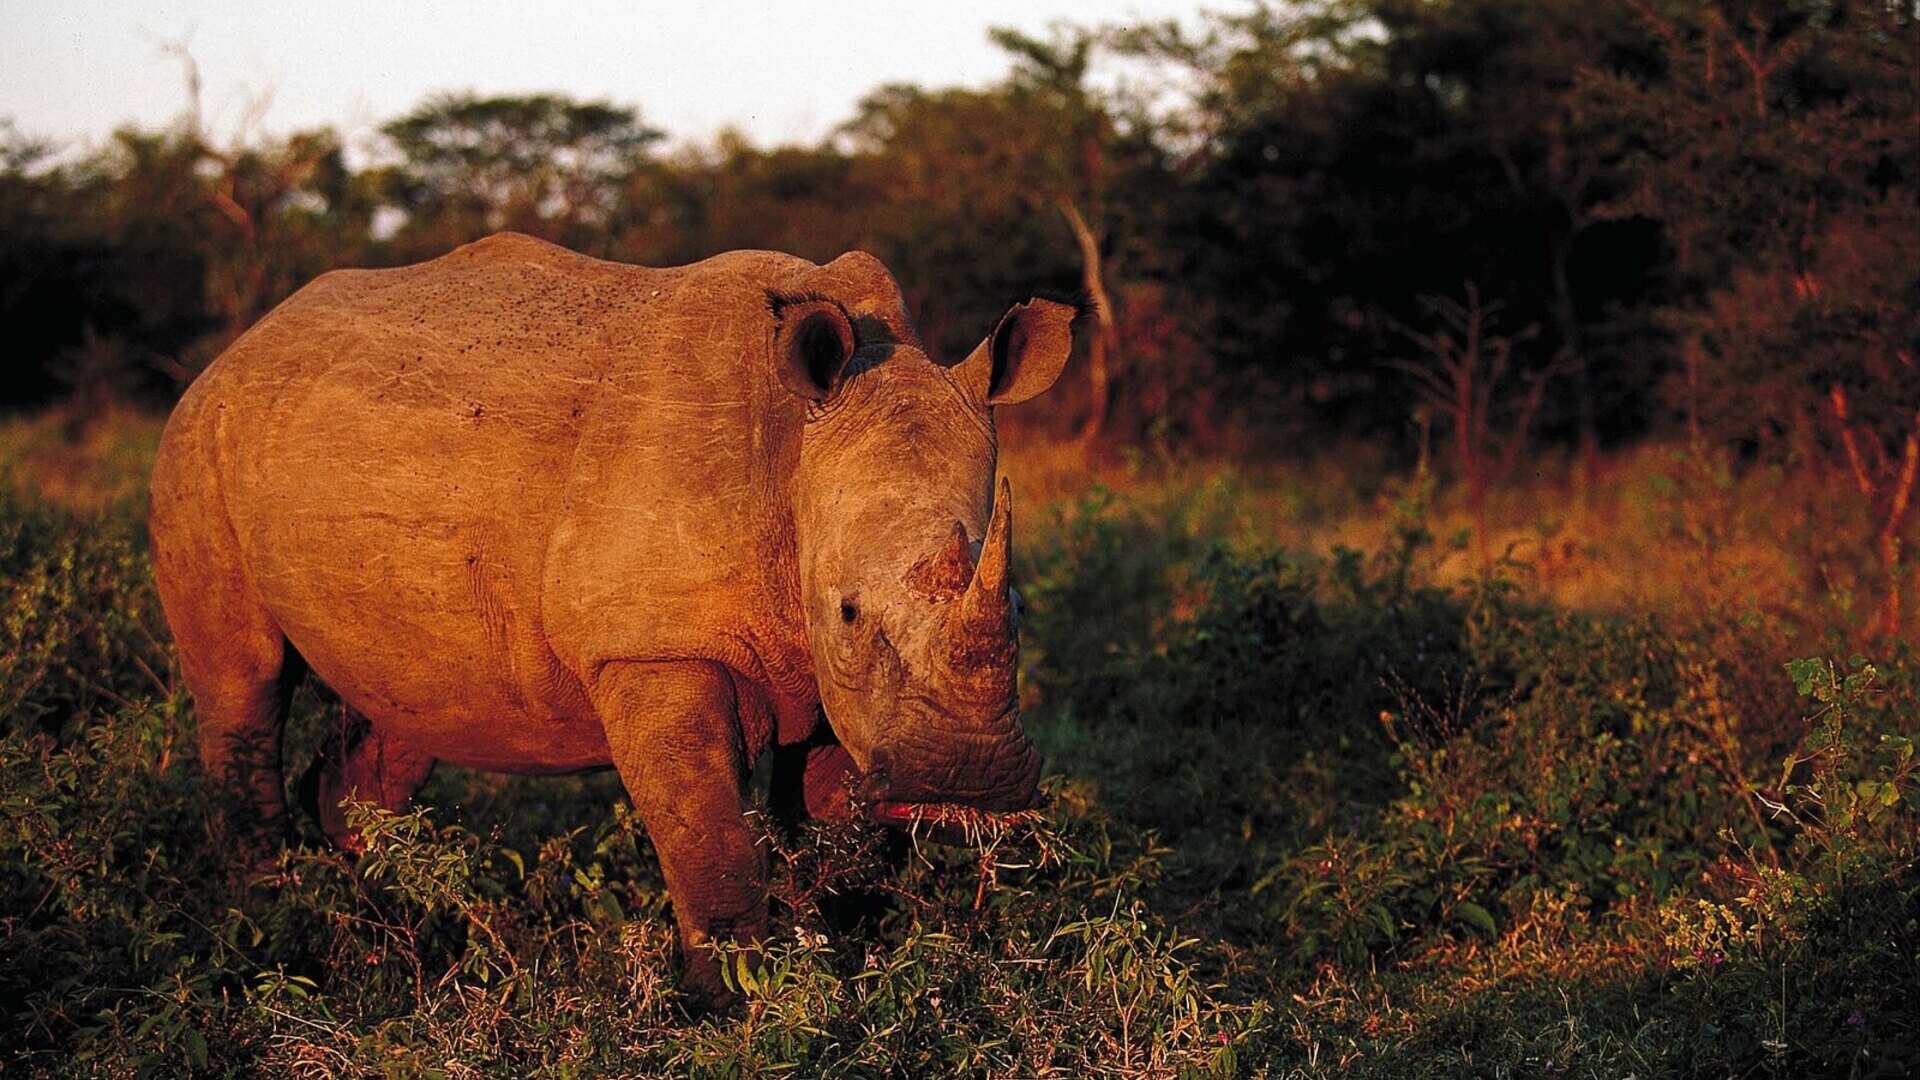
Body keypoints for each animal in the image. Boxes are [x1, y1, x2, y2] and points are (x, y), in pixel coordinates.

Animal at [147, 232, 1076, 999]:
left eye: (1020, 605)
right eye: (847, 611)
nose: (963, 781)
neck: (794, 449)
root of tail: (235, 349)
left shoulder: (828, 687)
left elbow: (827, 833)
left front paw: (838, 975)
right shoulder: (653, 646)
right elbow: (709, 841)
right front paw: (728, 1007)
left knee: (405, 706)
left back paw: (384, 928)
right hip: (198, 447)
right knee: (244, 683)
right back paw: (275, 930)